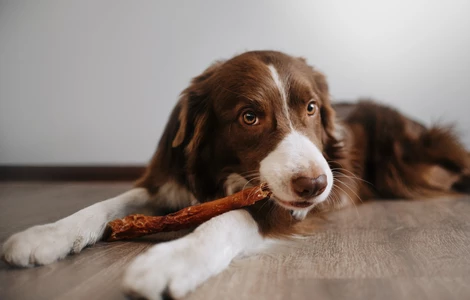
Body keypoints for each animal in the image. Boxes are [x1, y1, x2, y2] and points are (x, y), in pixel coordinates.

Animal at [3, 50, 470, 298]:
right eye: (249, 116)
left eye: (311, 108)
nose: (316, 186)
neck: (224, 174)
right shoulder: (171, 183)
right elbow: (105, 205)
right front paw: (45, 235)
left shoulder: (283, 207)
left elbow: (229, 218)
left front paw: (171, 260)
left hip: (410, 166)